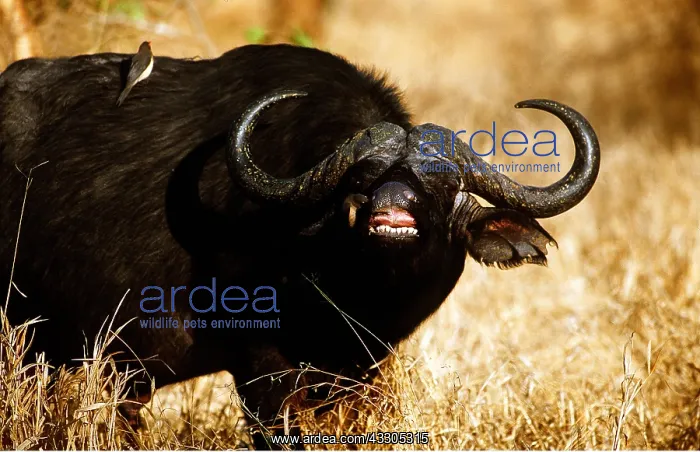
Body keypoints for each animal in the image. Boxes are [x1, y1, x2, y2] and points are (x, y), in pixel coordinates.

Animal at [0, 43, 600, 449]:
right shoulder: (262, 368)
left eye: (440, 185)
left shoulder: (356, 374)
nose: (391, 215)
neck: (344, 296)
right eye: (362, 179)